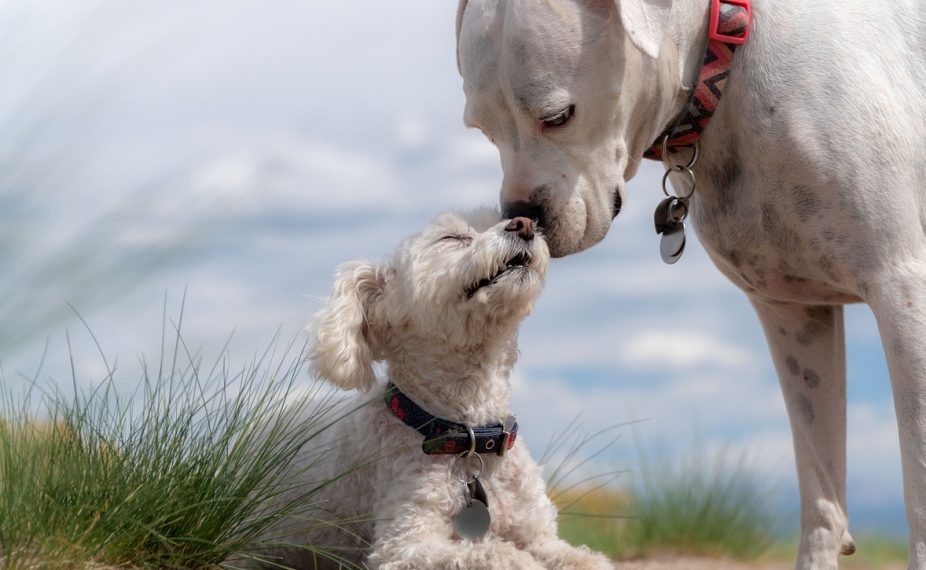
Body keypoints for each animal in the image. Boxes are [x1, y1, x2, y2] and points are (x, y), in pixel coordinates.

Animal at [254, 207, 616, 568]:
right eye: (451, 238)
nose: (525, 223)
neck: (468, 437)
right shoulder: (404, 545)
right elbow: (496, 552)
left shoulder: (541, 537)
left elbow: (588, 559)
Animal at [456, 1, 926, 568]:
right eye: (483, 130)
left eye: (558, 116)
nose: (521, 216)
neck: (727, 55)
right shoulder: (794, 316)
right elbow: (821, 493)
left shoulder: (903, 290)